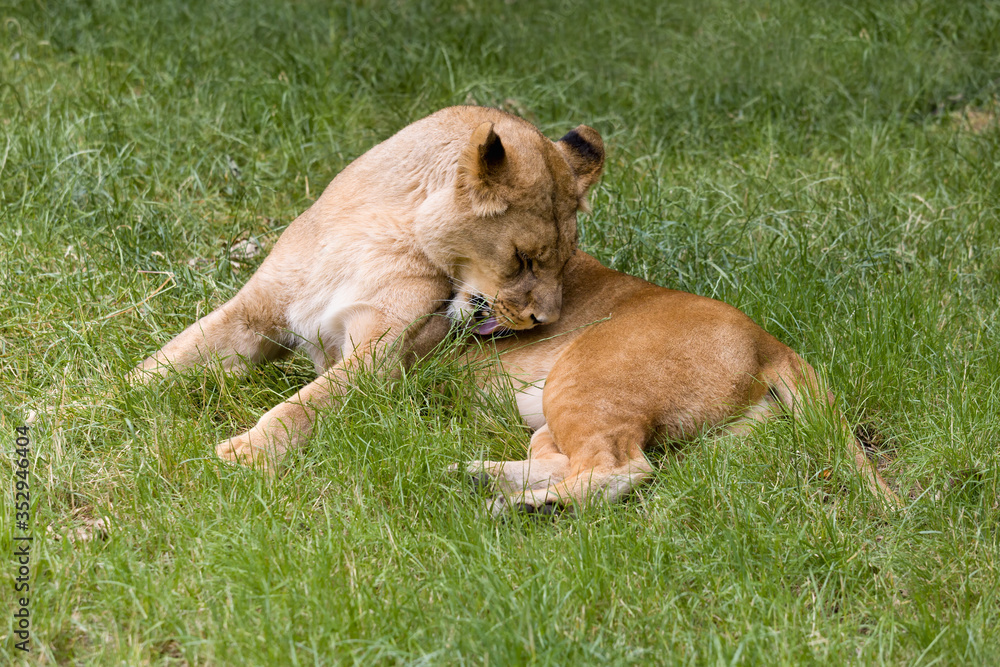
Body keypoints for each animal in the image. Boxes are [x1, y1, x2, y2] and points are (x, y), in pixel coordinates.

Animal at [130, 106, 605, 472]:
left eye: (564, 261)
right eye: (523, 258)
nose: (545, 320)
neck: (369, 236)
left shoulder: (381, 357)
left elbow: (305, 404)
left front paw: (246, 454)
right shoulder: (254, 310)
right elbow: (172, 357)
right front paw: (115, 396)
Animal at [455, 250, 901, 513]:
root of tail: (770, 342)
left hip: (581, 382)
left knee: (623, 467)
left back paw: (520, 505)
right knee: (567, 460)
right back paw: (479, 476)